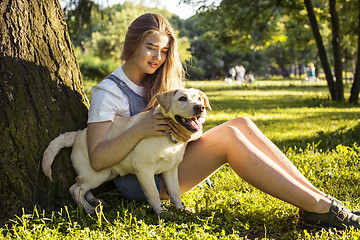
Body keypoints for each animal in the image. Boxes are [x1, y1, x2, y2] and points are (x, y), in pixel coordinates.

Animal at [42, 88, 211, 216]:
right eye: (182, 98)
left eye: (199, 99)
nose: (200, 107)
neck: (169, 138)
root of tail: (77, 134)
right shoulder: (144, 169)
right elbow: (153, 194)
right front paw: (161, 212)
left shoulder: (171, 169)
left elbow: (175, 192)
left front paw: (181, 209)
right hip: (97, 174)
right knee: (75, 189)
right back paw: (89, 209)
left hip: (104, 174)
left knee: (83, 188)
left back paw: (93, 201)